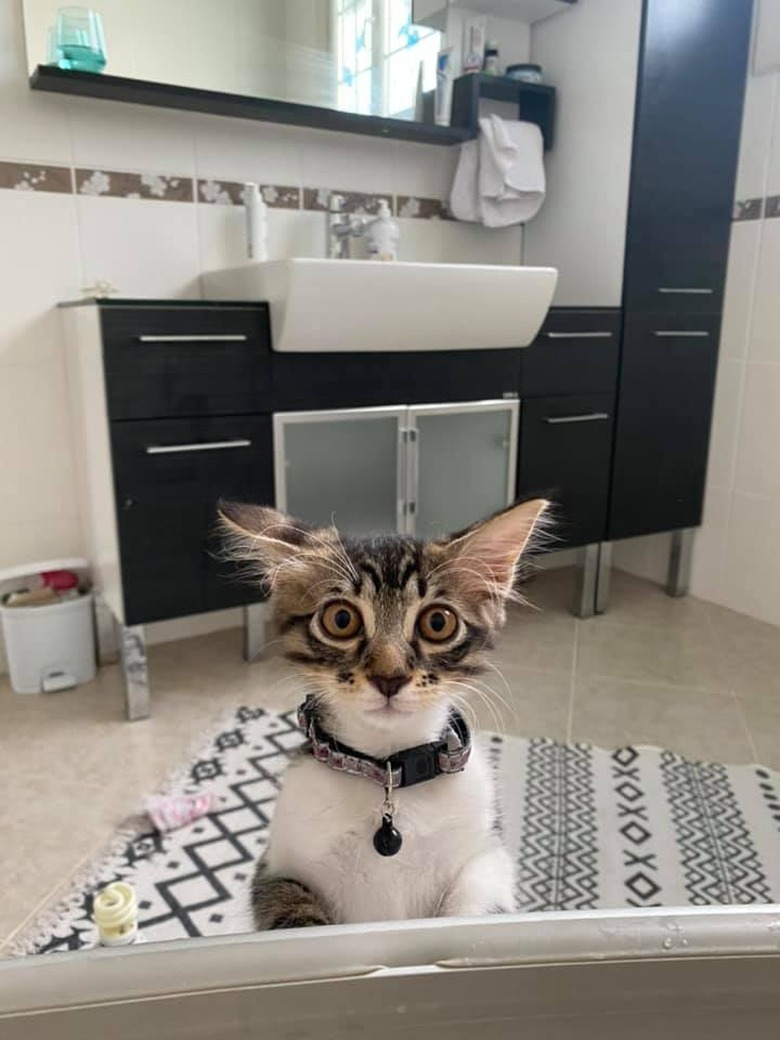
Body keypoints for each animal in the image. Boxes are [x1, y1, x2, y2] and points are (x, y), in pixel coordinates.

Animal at [220, 499, 549, 931]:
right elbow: (294, 918)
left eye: (438, 622)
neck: (389, 772)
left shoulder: (486, 855)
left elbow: (477, 912)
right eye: (341, 620)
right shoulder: (277, 868)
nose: (389, 676)